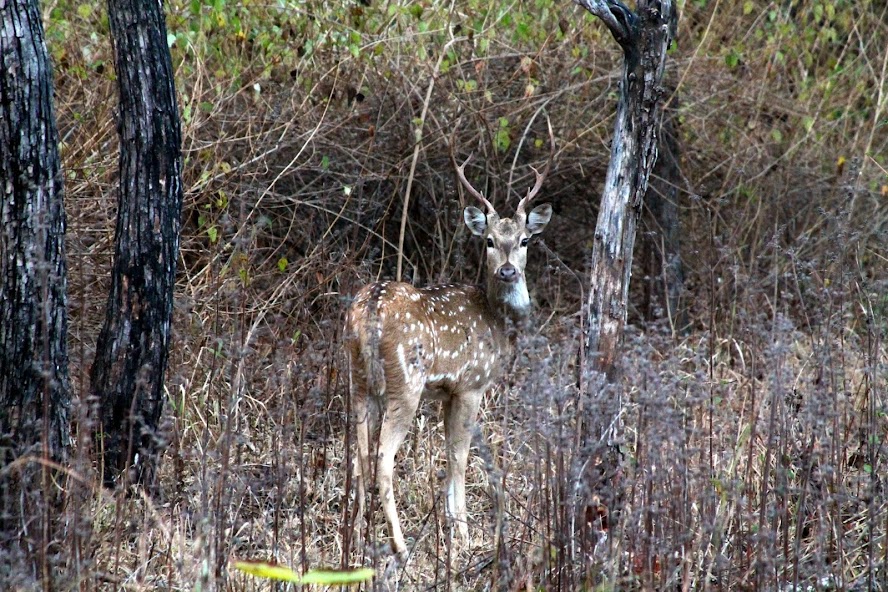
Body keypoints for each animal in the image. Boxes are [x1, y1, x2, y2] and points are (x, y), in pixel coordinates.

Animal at [344, 155, 552, 556]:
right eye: (489, 241)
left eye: (524, 240)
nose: (507, 270)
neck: (497, 323)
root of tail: (370, 309)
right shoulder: (471, 384)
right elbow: (458, 456)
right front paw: (464, 538)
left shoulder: (445, 392)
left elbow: (446, 448)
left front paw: (453, 528)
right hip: (404, 385)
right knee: (382, 458)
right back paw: (400, 546)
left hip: (359, 382)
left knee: (359, 452)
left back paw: (358, 538)